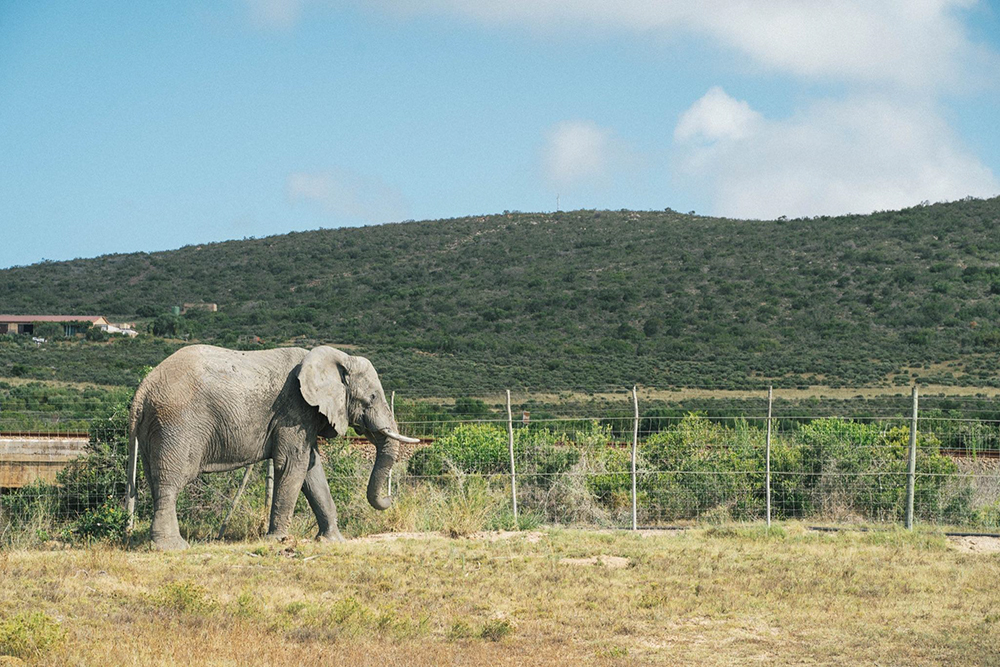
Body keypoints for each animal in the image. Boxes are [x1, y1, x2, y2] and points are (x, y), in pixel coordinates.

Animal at [126, 348, 418, 552]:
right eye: (371, 398)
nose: (390, 500)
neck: (335, 358)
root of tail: (142, 390)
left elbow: (312, 470)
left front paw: (332, 541)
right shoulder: (295, 409)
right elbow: (292, 464)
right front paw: (277, 540)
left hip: (156, 427)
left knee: (157, 481)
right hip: (176, 424)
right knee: (171, 483)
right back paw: (172, 548)